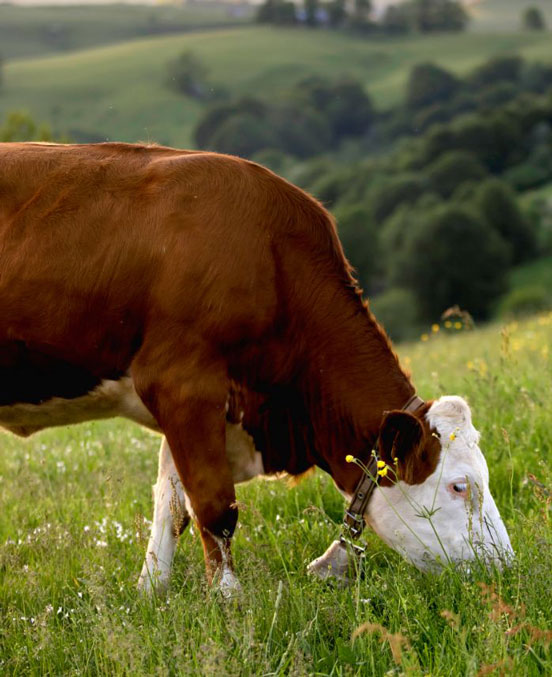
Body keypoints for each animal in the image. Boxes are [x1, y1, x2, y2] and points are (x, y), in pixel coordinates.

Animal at [0, 143, 512, 596]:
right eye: (460, 486)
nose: (505, 566)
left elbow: (172, 503)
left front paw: (151, 594)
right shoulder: (182, 383)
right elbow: (213, 506)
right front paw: (229, 600)